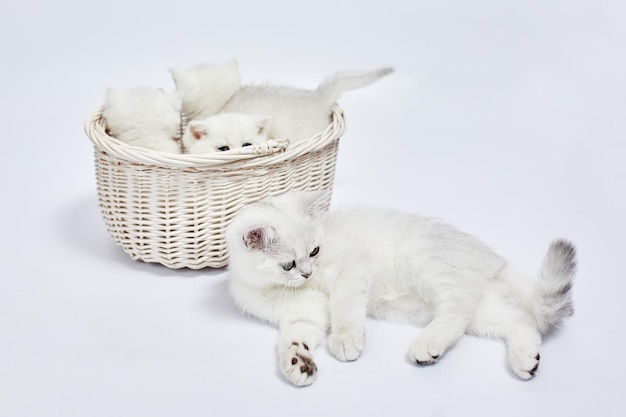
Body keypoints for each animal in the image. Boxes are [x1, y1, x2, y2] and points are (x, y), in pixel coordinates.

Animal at [224, 190, 576, 386]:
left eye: (315, 251)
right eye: (289, 265)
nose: (309, 274)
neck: (280, 288)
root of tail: (493, 259)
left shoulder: (351, 265)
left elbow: (344, 307)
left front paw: (345, 339)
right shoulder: (302, 315)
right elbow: (295, 338)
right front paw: (297, 363)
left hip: (427, 264)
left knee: (458, 303)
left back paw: (427, 346)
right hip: (484, 312)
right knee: (520, 321)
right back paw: (526, 360)